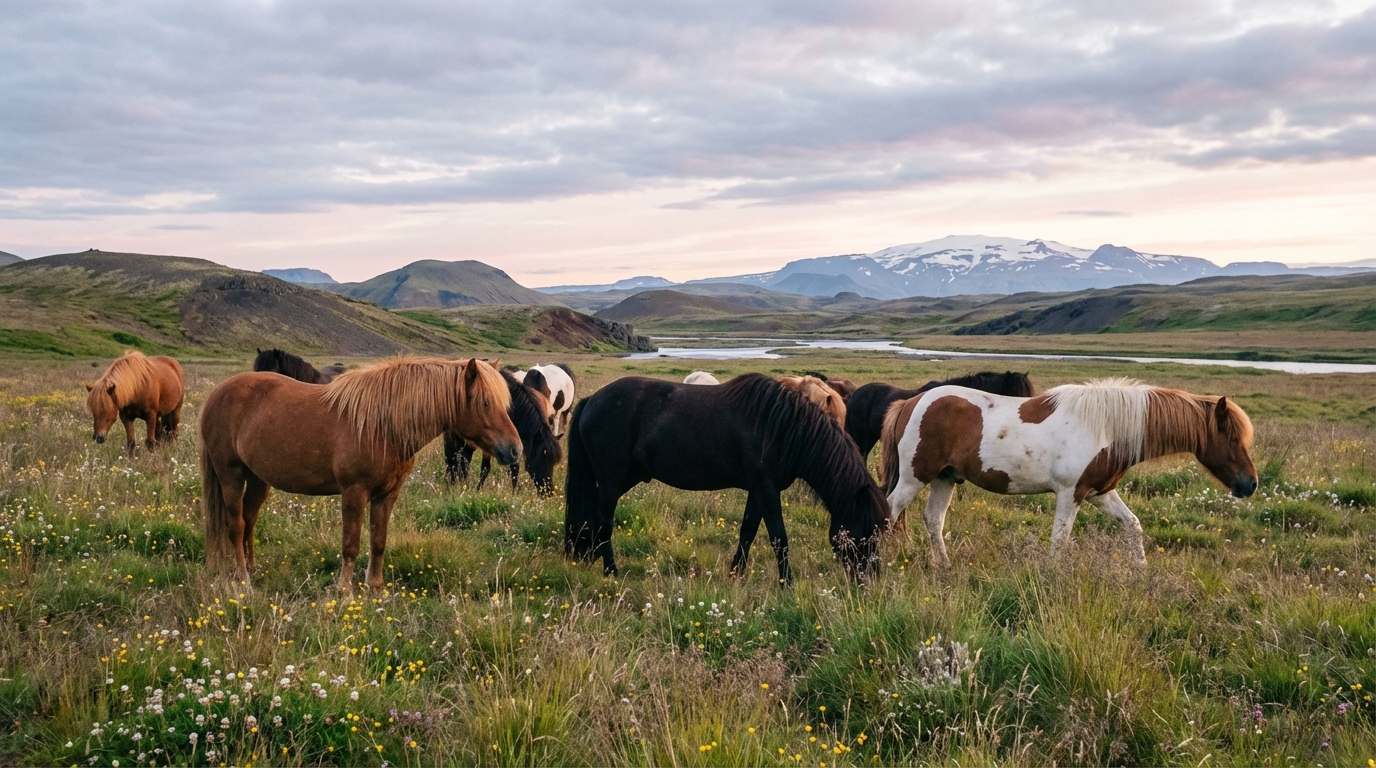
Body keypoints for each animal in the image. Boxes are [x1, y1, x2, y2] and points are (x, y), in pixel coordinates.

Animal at [198, 356, 521, 591]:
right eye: (485, 403)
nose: (515, 450)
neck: (382, 426)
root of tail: (217, 394)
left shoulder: (387, 495)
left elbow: (378, 542)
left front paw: (375, 589)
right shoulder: (354, 493)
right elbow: (351, 544)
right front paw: (345, 591)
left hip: (258, 478)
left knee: (249, 520)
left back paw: (251, 569)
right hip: (230, 474)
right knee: (236, 524)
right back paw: (243, 579)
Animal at [565, 373, 888, 585]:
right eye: (864, 535)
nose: (870, 583)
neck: (783, 427)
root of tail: (591, 400)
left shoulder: (758, 490)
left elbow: (747, 531)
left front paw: (736, 574)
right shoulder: (767, 490)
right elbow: (779, 538)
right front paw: (787, 584)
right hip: (611, 483)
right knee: (603, 524)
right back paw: (611, 573)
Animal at [881, 378, 1257, 568]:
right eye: (1233, 438)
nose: (1250, 485)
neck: (1105, 426)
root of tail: (910, 403)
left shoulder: (1100, 493)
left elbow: (1132, 525)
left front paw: (1141, 571)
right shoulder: (1070, 494)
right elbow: (1060, 540)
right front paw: (1053, 577)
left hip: (945, 478)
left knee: (933, 520)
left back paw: (944, 567)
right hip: (914, 477)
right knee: (890, 510)